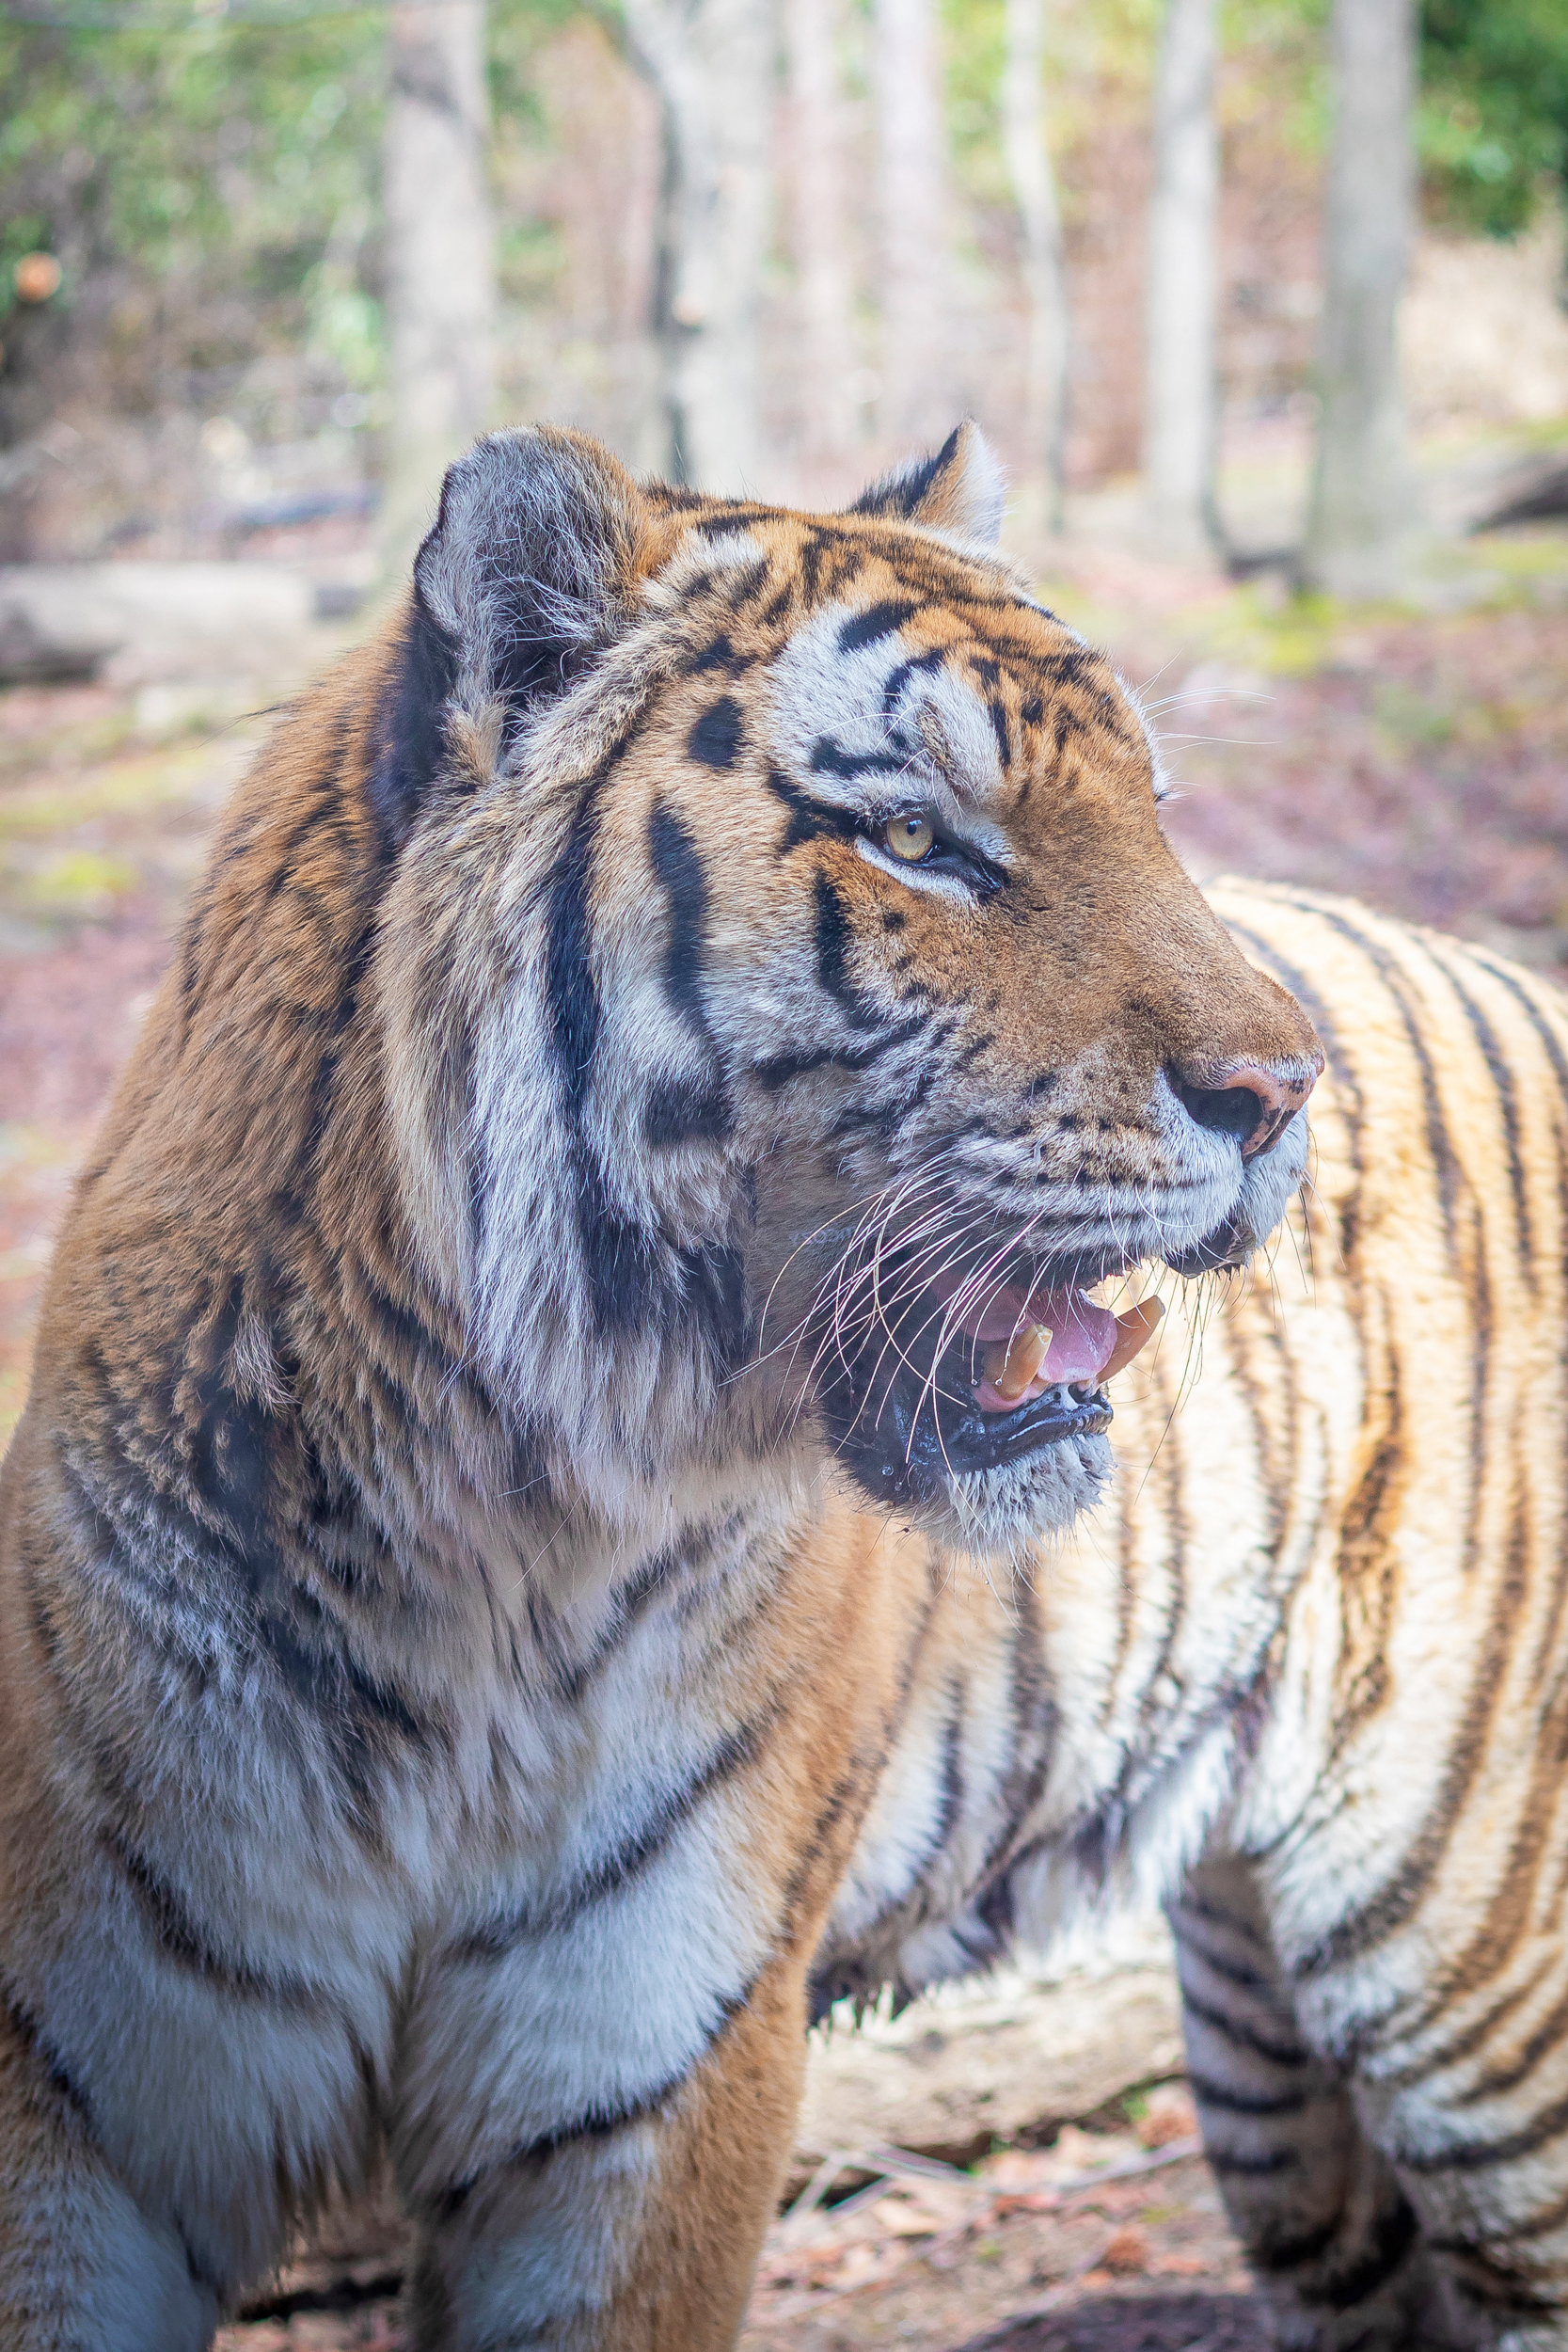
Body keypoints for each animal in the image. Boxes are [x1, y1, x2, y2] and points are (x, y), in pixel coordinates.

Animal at [0, 416, 1561, 2352]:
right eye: (915, 837)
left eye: (1155, 812)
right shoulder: (83, 2086)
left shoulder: (643, 2084)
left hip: (1476, 1973)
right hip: (1271, 2077)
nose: (1284, 1094)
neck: (467, 1520)